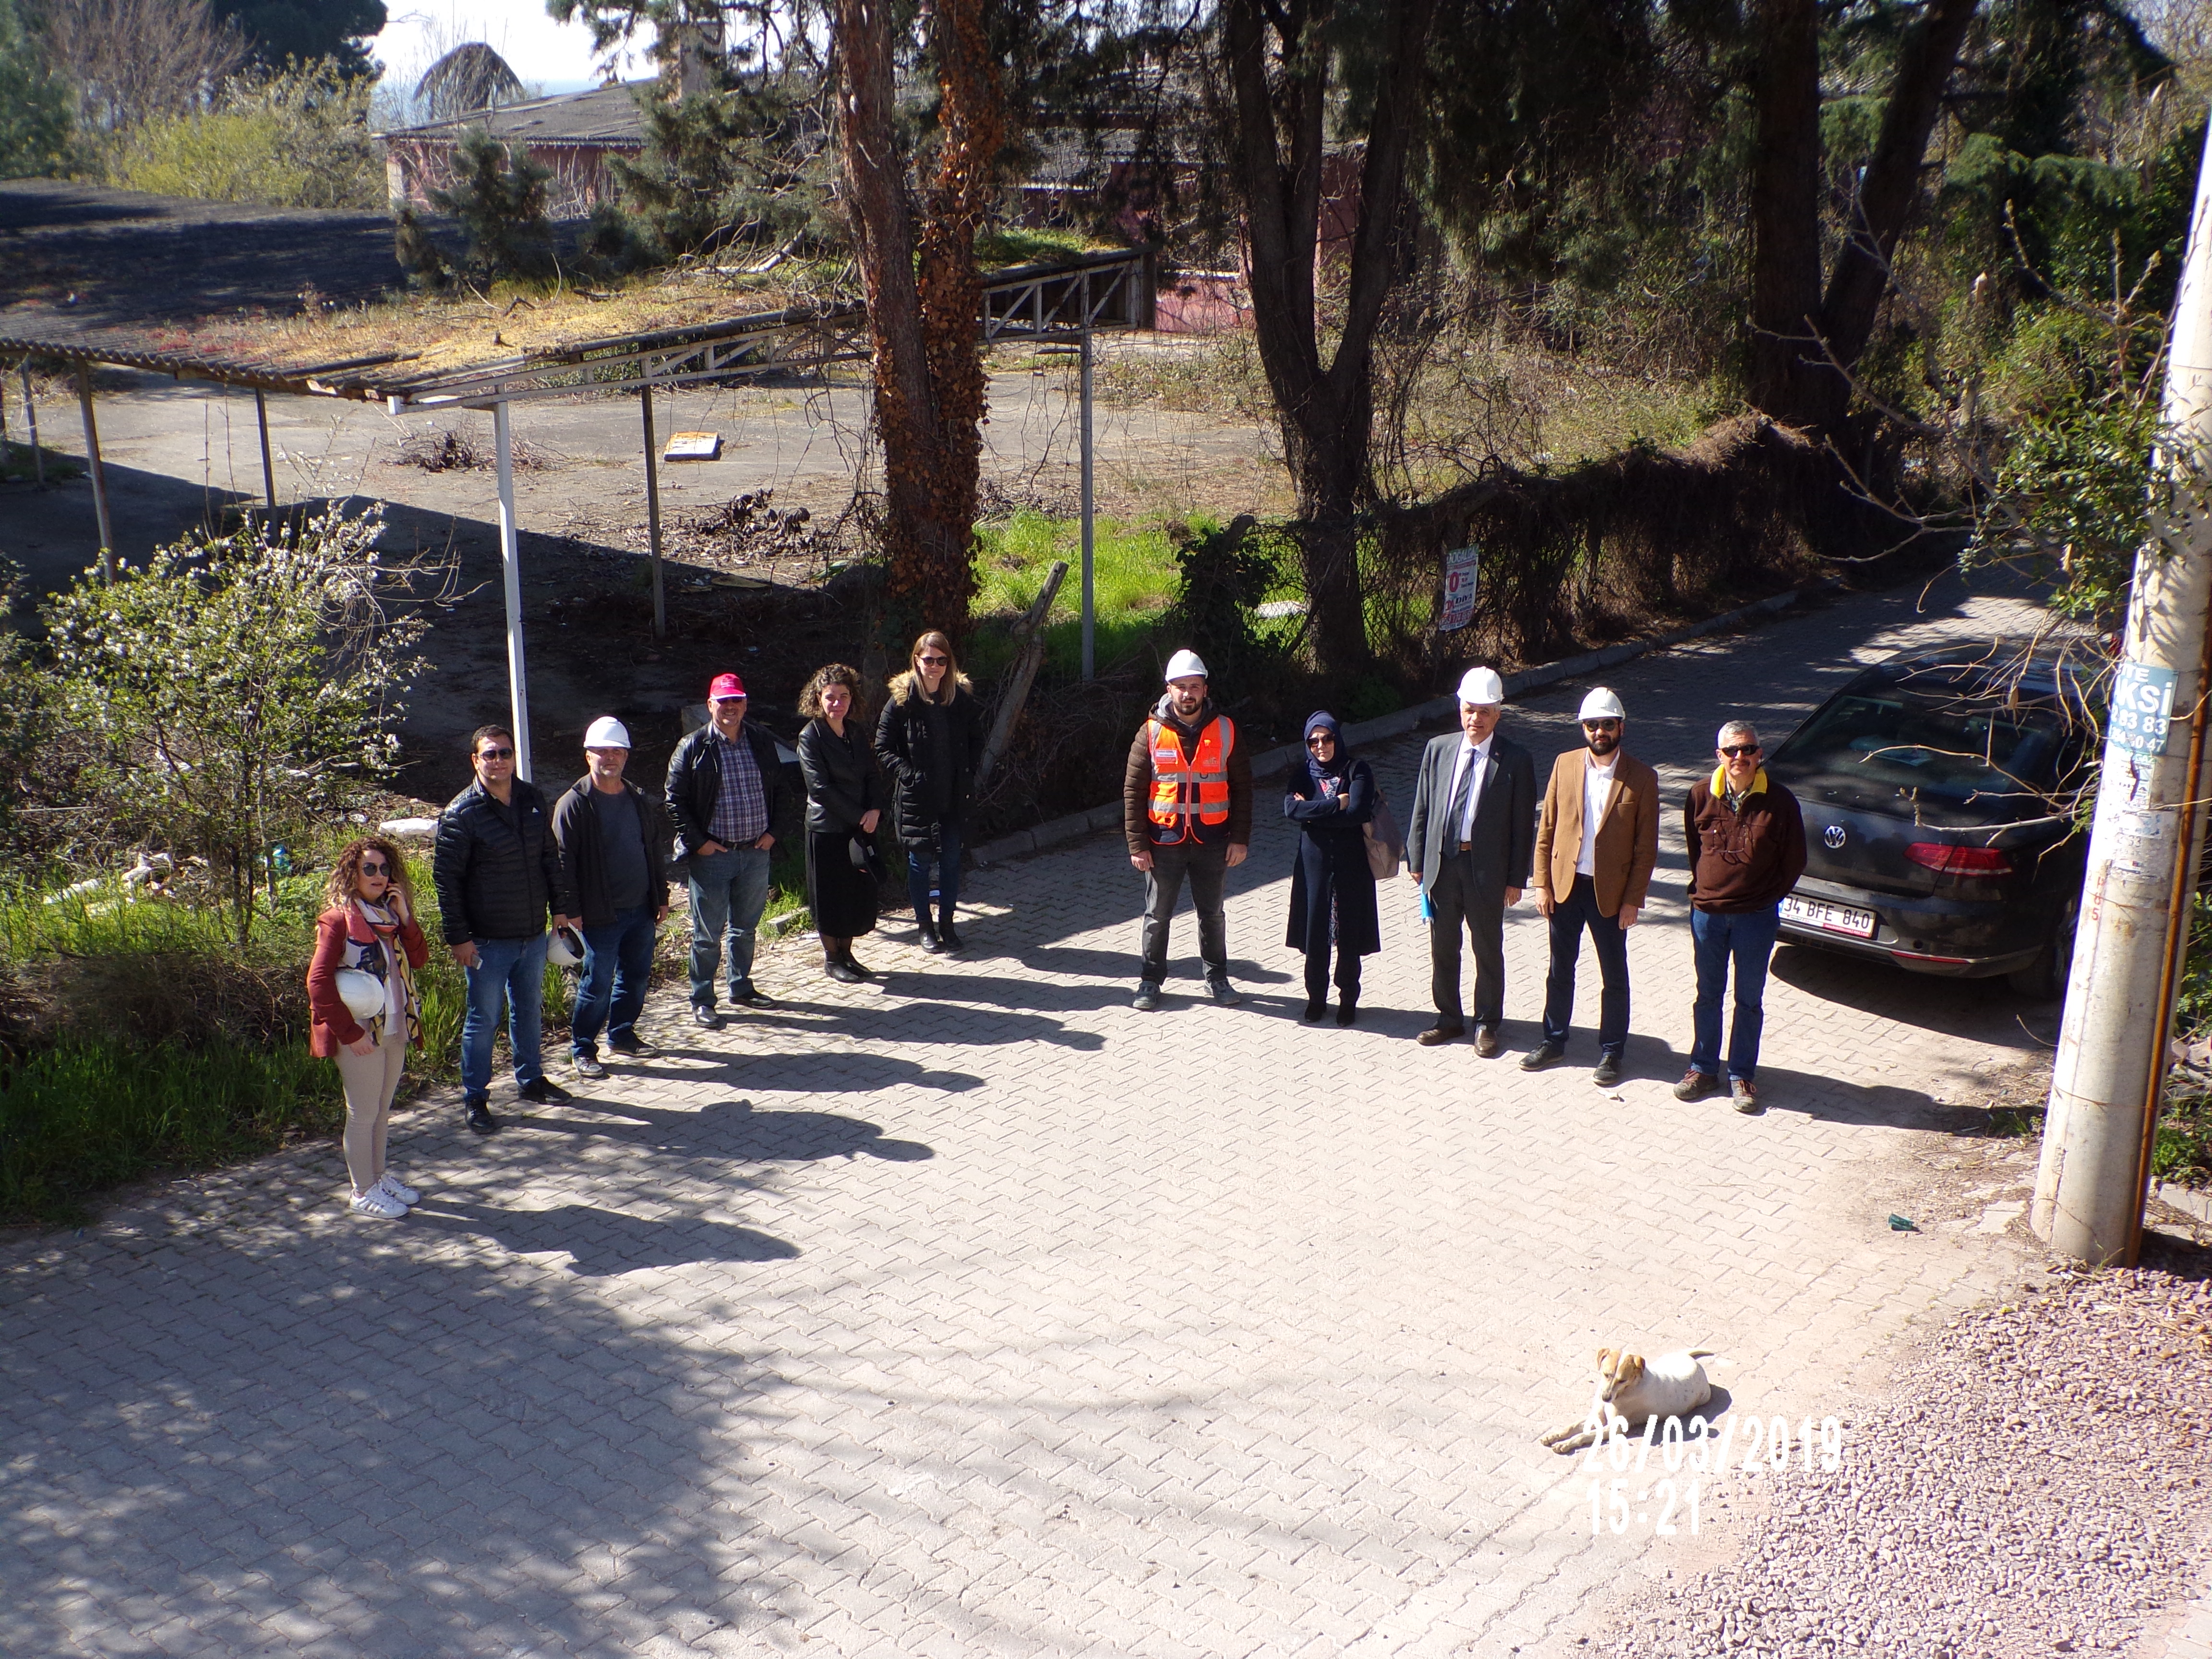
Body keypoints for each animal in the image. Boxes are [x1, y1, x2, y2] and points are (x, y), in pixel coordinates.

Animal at [1548, 1354, 1716, 1451]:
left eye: (1622, 1380)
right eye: (1606, 1374)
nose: (1606, 1398)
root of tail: (1694, 1362)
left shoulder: (1615, 1428)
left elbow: (1584, 1435)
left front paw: (1565, 1444)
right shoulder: (1596, 1416)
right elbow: (1571, 1427)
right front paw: (1554, 1436)